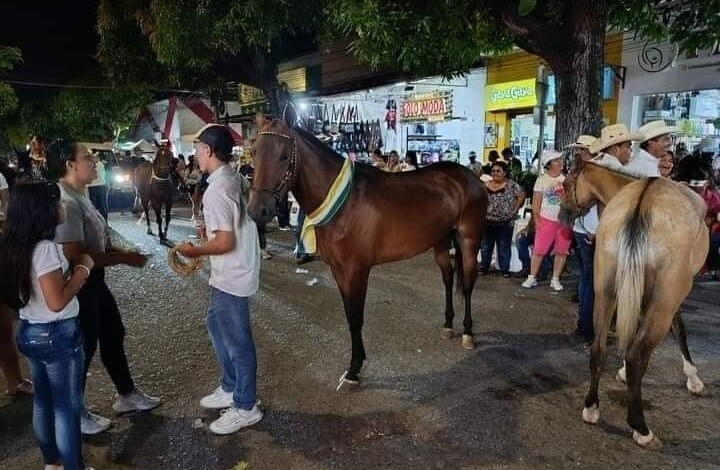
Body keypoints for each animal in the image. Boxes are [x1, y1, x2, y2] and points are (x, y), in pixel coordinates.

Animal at [248, 119, 488, 387]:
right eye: (254, 152)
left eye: (283, 155)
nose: (258, 210)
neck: (345, 203)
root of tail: (470, 177)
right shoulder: (339, 270)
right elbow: (349, 315)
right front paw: (356, 364)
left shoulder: (357, 270)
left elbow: (356, 318)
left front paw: (354, 368)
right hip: (441, 241)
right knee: (447, 278)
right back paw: (447, 325)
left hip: (469, 240)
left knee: (467, 285)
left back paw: (467, 332)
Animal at [560, 160, 709, 449]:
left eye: (569, 181)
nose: (562, 211)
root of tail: (642, 205)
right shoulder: (671, 295)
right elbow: (679, 329)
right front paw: (693, 377)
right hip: (665, 300)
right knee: (638, 355)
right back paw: (641, 428)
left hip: (606, 291)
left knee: (598, 350)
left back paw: (592, 408)